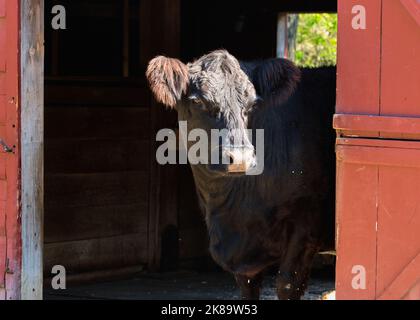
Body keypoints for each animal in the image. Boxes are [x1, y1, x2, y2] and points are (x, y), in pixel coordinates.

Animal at [146, 50, 336, 300]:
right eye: (197, 101)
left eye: (253, 103)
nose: (240, 158)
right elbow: (247, 287)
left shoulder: (307, 222)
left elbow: (287, 284)